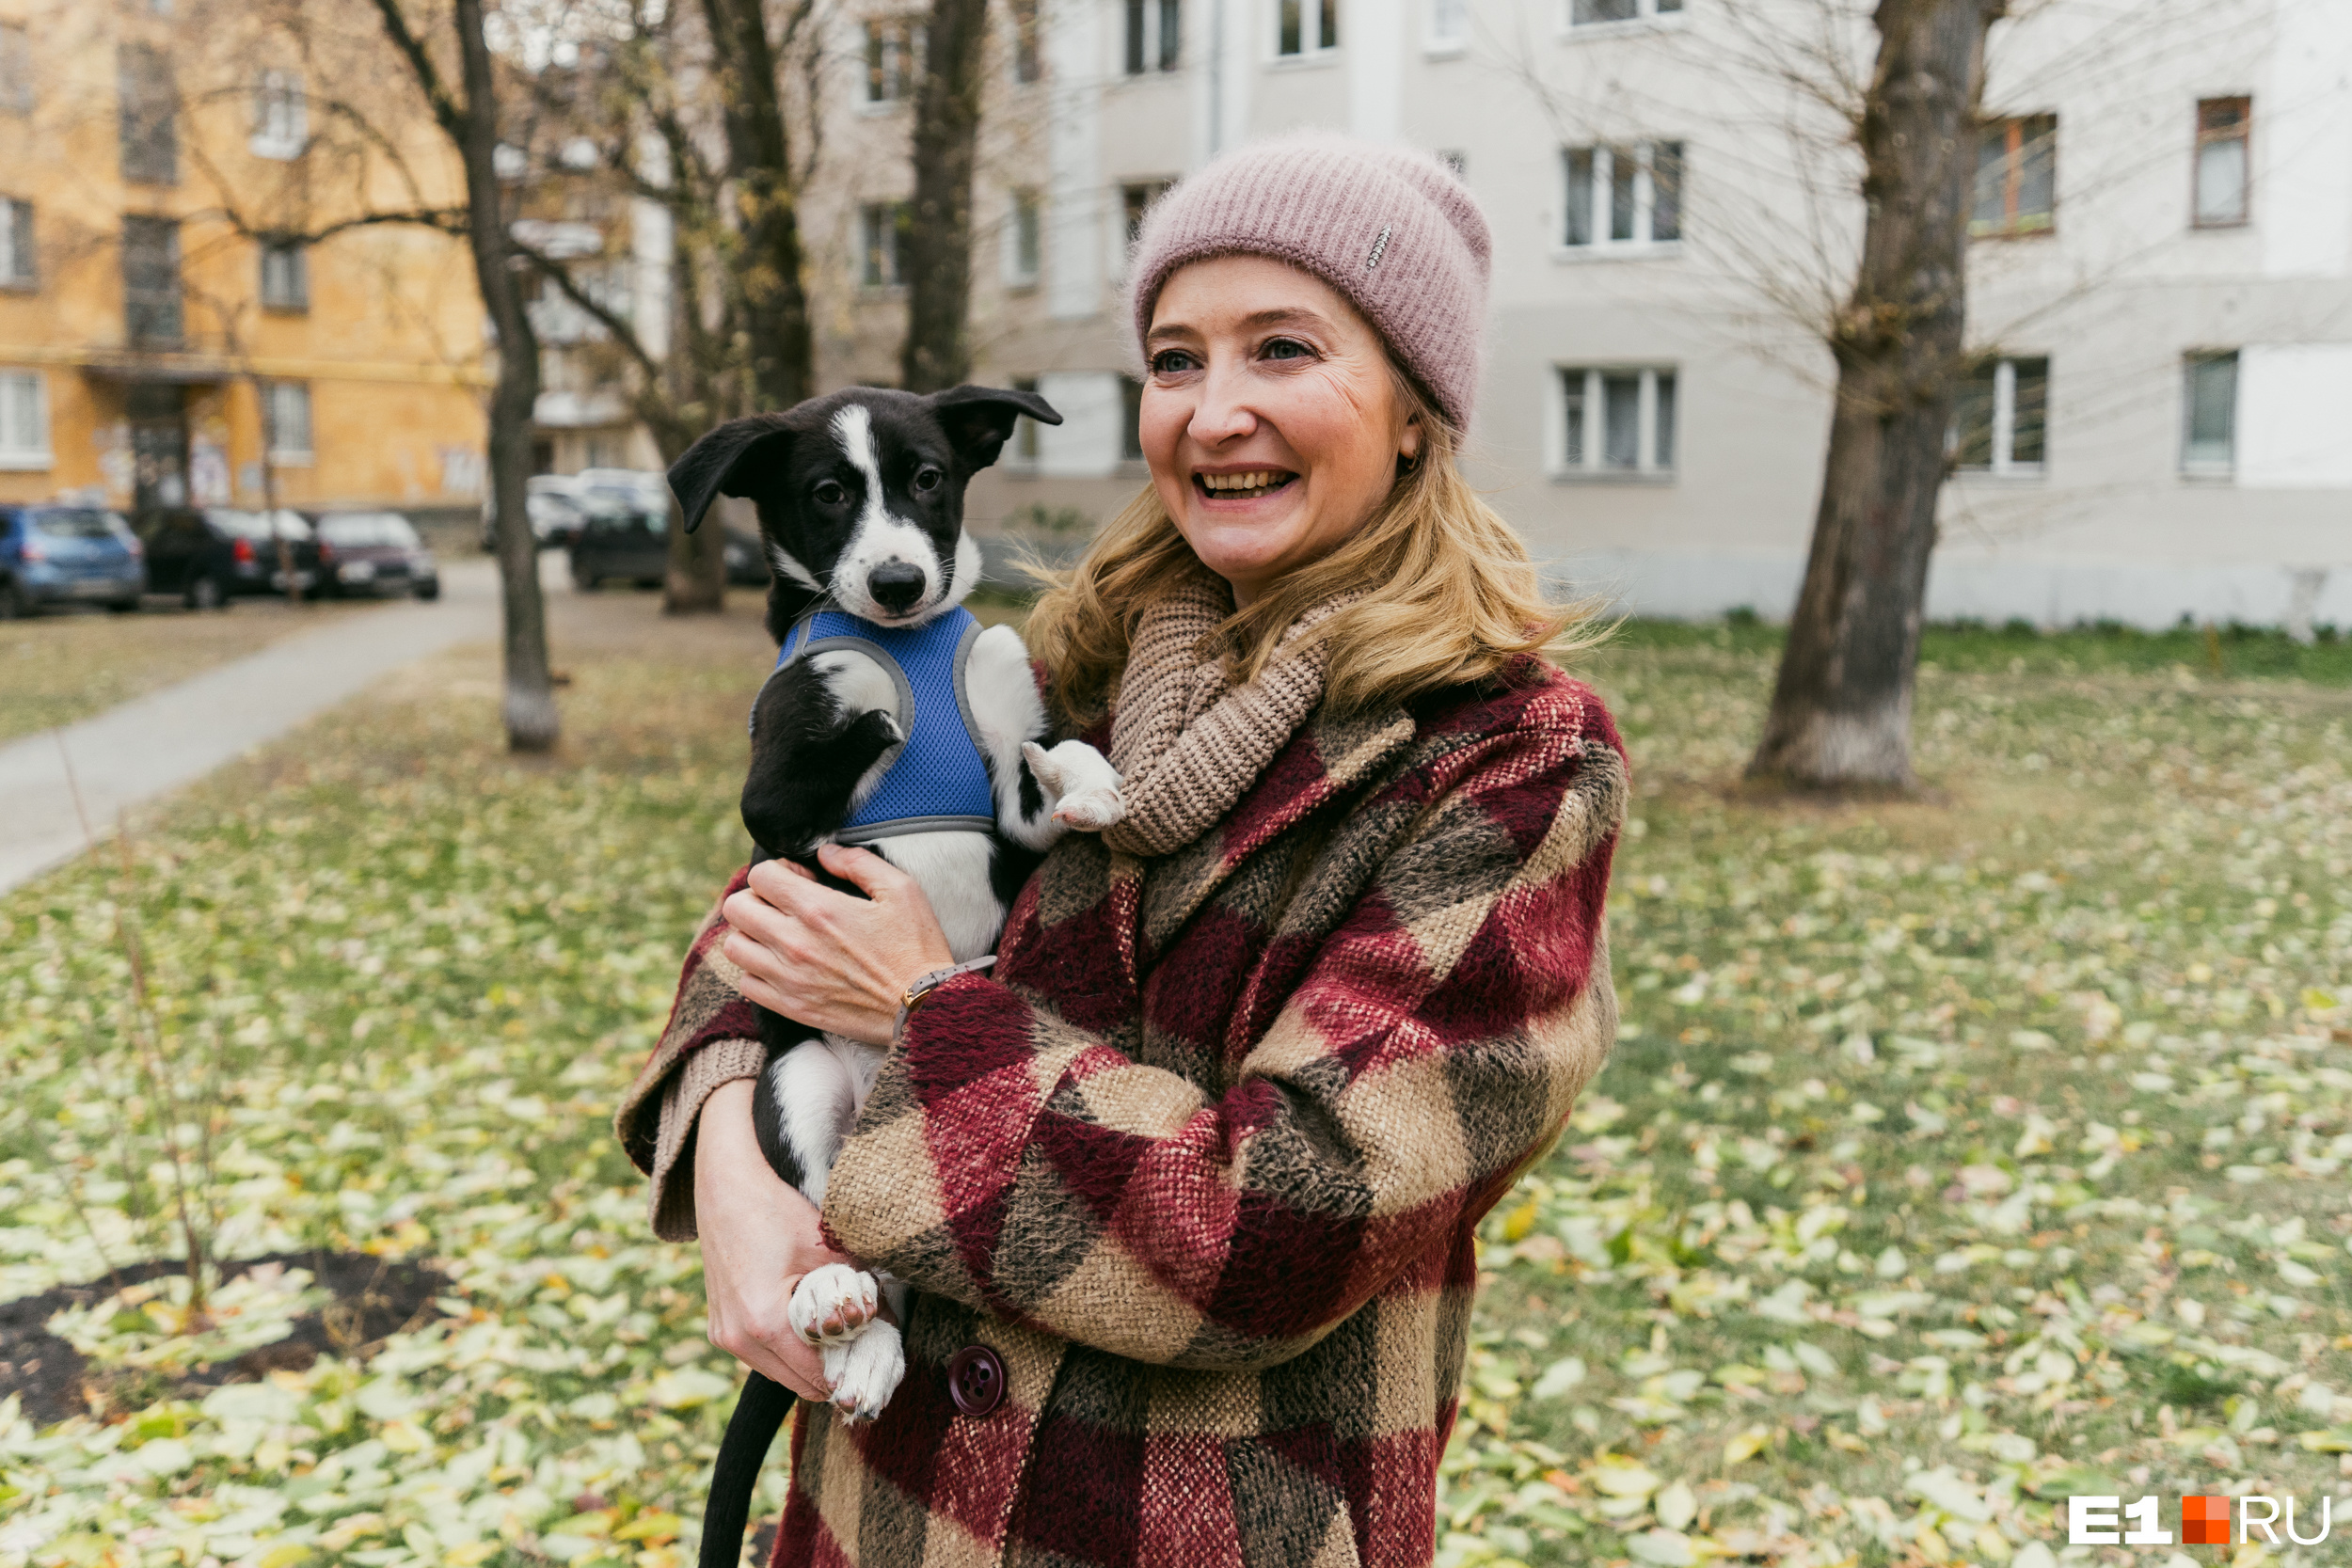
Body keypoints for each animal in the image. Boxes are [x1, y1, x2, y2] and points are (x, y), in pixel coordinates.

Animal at [673, 385, 1129, 1560]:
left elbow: (1045, 763)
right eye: (827, 493)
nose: (894, 583)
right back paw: (842, 1311)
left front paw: (1093, 784)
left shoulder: (1014, 793)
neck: (910, 646)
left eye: (927, 477)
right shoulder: (774, 808)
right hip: (798, 1087)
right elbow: (846, 737)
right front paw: (879, 716)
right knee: (835, 1229)